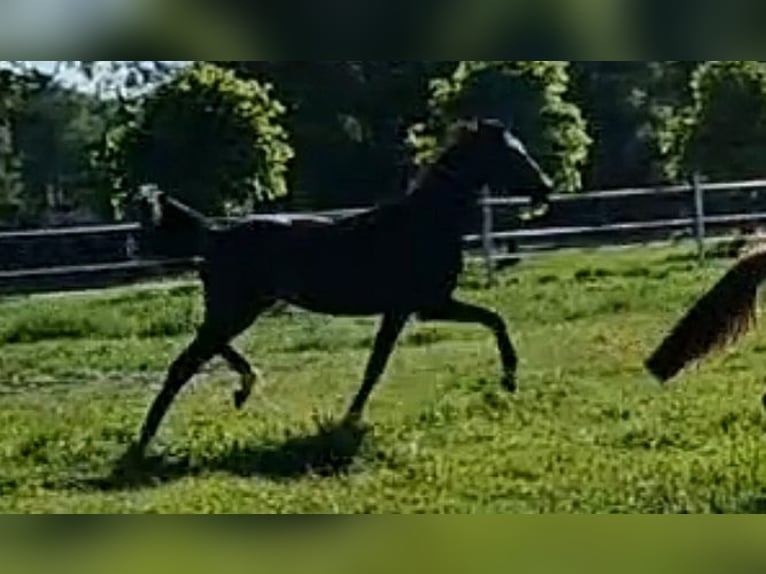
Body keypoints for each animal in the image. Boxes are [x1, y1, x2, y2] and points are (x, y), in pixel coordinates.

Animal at [130, 119, 552, 456]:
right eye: (511, 153)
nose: (545, 188)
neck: (427, 222)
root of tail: (216, 235)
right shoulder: (426, 305)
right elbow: (488, 321)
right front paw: (509, 378)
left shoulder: (408, 309)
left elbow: (381, 363)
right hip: (236, 309)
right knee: (185, 363)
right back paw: (147, 440)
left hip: (240, 308)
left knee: (204, 348)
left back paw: (242, 386)